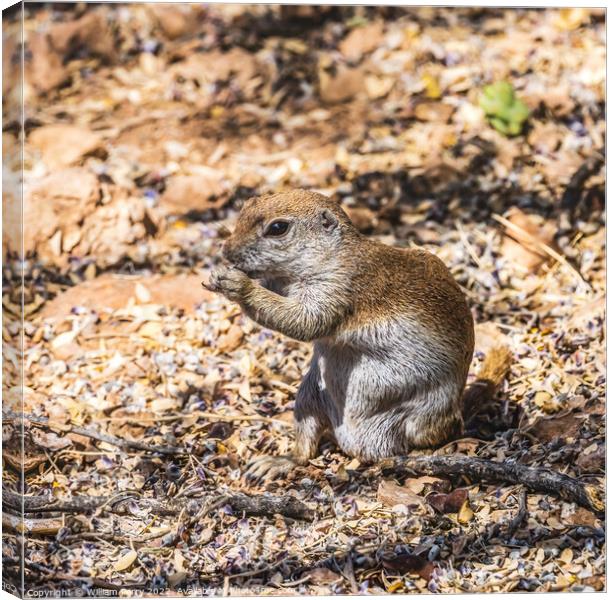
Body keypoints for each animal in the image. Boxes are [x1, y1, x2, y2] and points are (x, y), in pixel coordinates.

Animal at [203, 190, 510, 480]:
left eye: (278, 227)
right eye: (247, 205)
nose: (226, 251)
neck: (332, 255)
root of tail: (357, 444)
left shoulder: (341, 287)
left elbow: (305, 321)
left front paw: (238, 284)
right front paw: (216, 275)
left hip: (424, 415)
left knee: (444, 432)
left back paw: (432, 453)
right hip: (309, 396)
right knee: (305, 445)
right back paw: (280, 461)